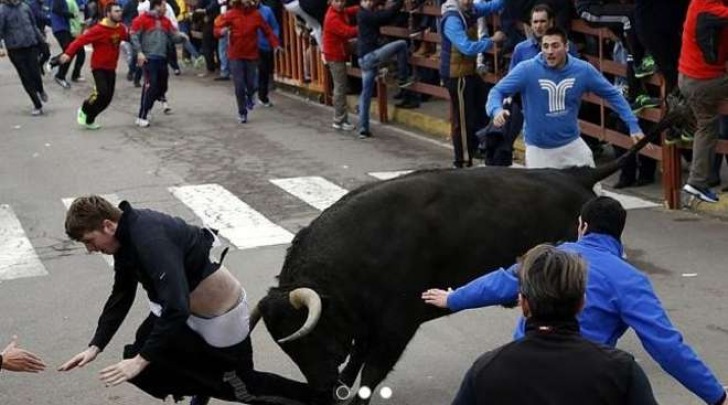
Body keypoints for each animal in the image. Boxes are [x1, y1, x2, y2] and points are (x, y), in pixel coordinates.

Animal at [250, 111, 684, 404]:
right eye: (288, 347)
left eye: (308, 336)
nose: (322, 387)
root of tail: (573, 175)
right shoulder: (367, 325)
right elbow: (356, 360)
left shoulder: (395, 326)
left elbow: (369, 373)